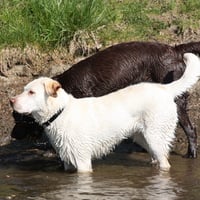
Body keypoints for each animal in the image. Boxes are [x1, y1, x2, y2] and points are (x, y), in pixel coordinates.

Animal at [10, 52, 200, 172]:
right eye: (24, 89)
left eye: (32, 92)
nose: (11, 101)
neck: (60, 112)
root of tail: (165, 89)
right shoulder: (67, 162)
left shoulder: (83, 162)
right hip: (143, 138)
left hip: (156, 137)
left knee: (166, 163)